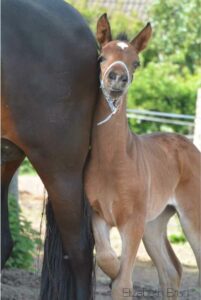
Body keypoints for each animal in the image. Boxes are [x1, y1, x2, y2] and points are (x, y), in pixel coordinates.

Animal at [84, 14, 200, 300]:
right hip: (155, 223)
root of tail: (190, 146)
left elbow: (123, 282)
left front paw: (117, 276)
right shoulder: (98, 215)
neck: (113, 162)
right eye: (101, 57)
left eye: (136, 62)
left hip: (192, 217)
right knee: (172, 270)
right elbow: (108, 260)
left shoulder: (133, 222)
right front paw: (112, 270)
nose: (117, 78)